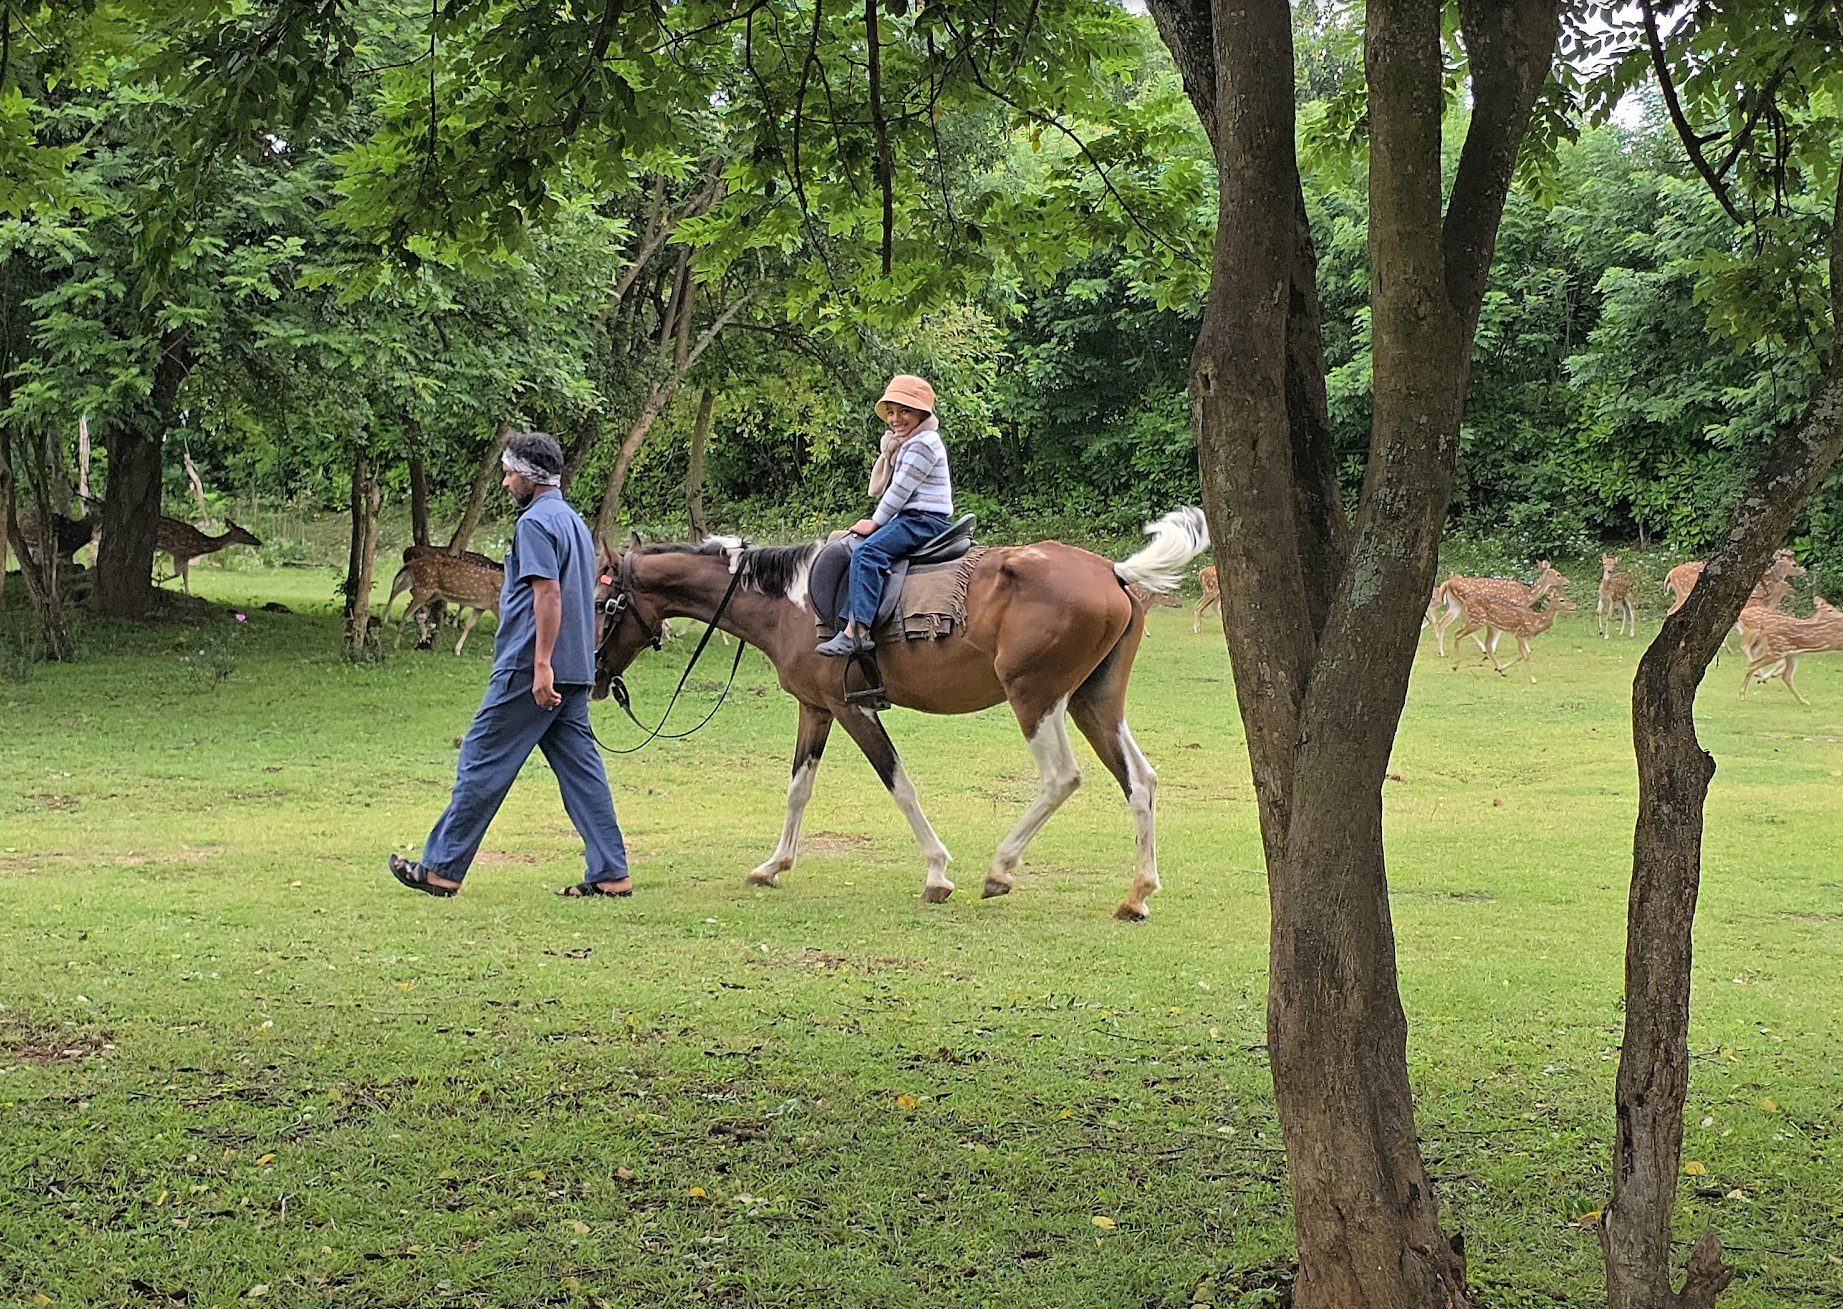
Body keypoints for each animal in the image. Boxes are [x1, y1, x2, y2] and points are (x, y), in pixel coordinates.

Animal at [1427, 561, 1569, 656]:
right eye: (1558, 574)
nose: (1567, 582)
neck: (1527, 596)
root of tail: (1447, 582)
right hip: (1467, 604)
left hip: (1455, 605)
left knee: (1442, 623)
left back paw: (1442, 651)